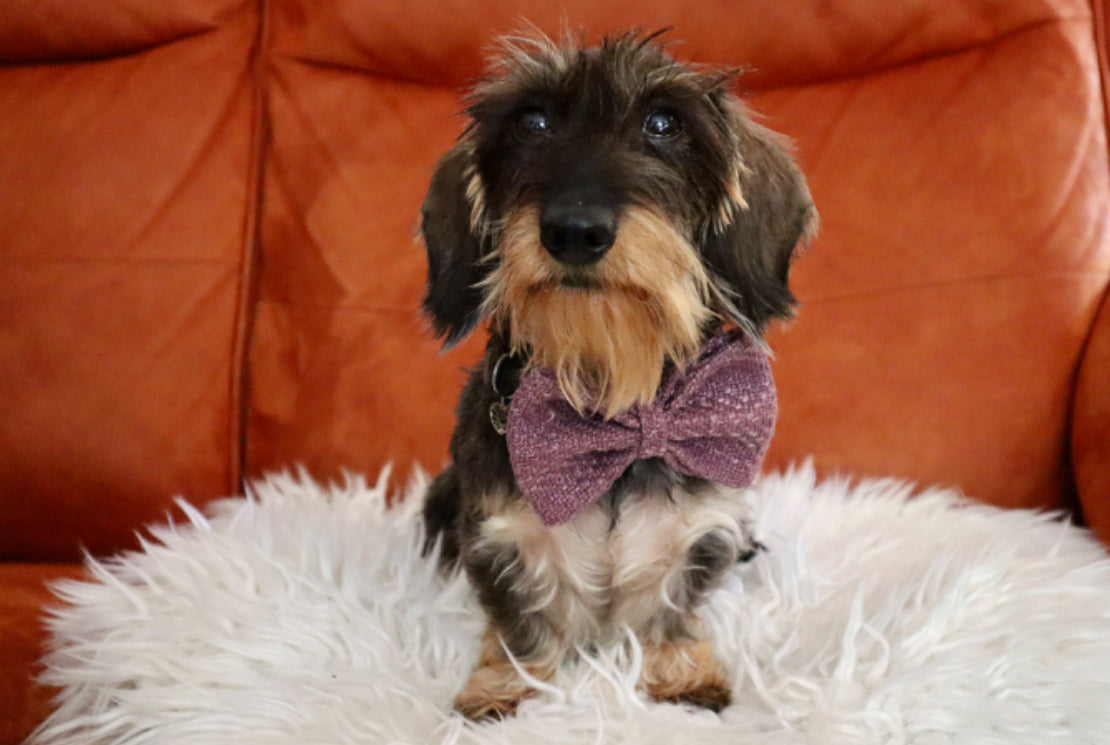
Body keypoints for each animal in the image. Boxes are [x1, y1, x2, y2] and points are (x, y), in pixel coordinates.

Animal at [417, 32, 816, 719]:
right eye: (531, 120)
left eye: (664, 123)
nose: (575, 231)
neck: (610, 393)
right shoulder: (497, 535)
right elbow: (519, 622)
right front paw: (502, 686)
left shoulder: (702, 530)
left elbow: (674, 610)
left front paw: (683, 673)